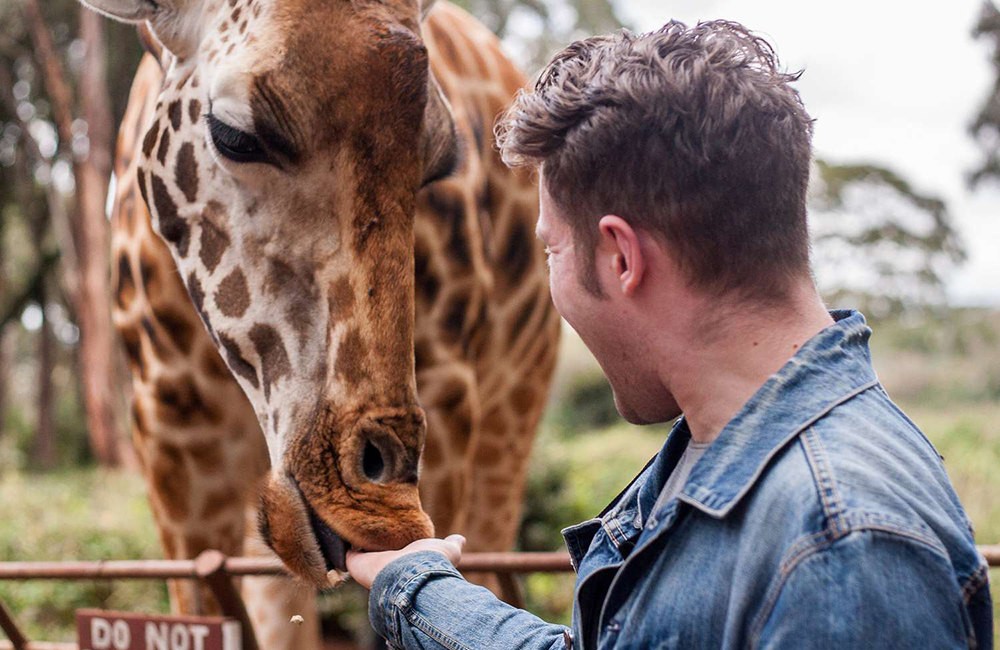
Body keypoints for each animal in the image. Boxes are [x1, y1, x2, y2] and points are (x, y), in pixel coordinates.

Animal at [93, 0, 561, 644]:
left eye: (439, 160)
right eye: (235, 134)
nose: (383, 516)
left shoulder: (451, 397)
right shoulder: (168, 431)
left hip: (514, 412)